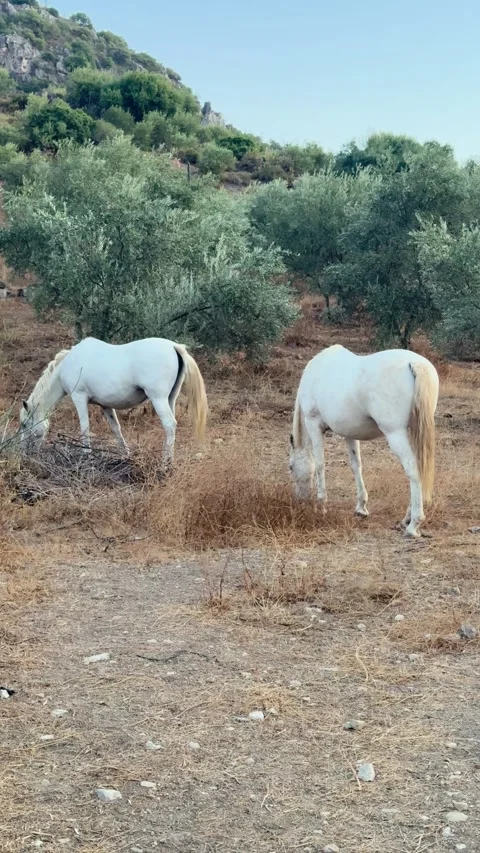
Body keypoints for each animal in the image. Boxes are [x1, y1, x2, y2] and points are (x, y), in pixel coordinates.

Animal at [19, 337, 208, 465]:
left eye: (24, 424)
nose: (23, 451)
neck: (67, 365)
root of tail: (174, 346)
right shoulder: (106, 406)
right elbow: (116, 429)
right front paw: (126, 456)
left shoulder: (79, 397)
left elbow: (84, 428)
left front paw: (86, 457)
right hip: (170, 399)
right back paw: (170, 460)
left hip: (158, 399)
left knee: (169, 425)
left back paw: (164, 464)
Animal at [289, 344, 439, 538]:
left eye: (290, 467)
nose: (300, 501)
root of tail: (415, 363)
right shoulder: (350, 433)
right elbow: (356, 465)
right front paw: (361, 507)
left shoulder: (314, 425)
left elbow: (320, 465)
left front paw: (321, 506)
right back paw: (406, 518)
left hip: (395, 434)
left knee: (412, 470)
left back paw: (413, 525)